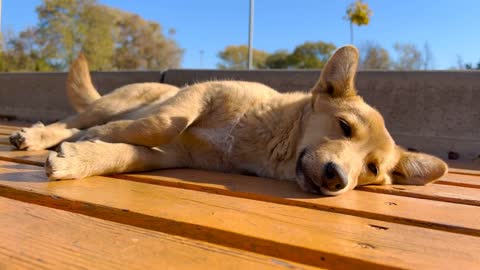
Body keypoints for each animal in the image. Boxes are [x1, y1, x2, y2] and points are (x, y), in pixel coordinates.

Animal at [9, 45, 448, 195]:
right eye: (344, 127)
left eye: (371, 168)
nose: (337, 179)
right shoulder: (201, 94)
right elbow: (161, 122)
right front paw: (93, 139)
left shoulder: (174, 156)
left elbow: (122, 154)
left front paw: (81, 158)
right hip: (117, 103)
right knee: (73, 121)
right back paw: (37, 135)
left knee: (73, 126)